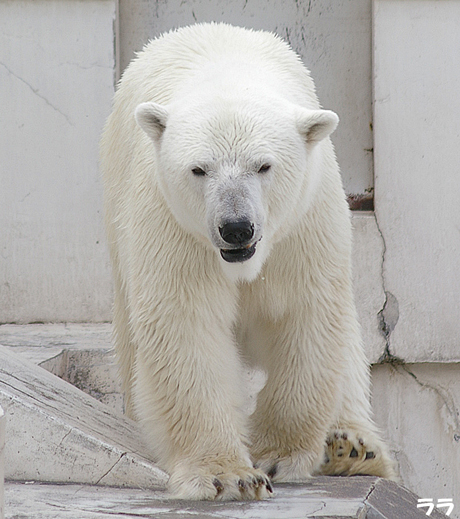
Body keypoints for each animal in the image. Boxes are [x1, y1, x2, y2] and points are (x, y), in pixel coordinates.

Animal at [100, 23, 396, 500]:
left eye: (264, 166)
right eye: (199, 169)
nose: (236, 227)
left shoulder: (302, 224)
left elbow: (302, 319)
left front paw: (279, 454)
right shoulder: (174, 227)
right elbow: (187, 328)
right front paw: (227, 474)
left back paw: (351, 447)